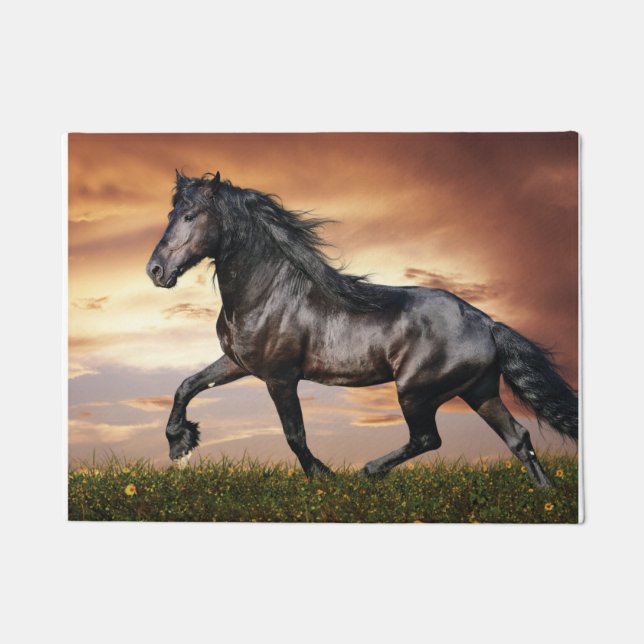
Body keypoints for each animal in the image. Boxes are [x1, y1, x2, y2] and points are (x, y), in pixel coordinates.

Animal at [146, 170, 578, 487]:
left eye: (190, 216)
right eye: (170, 215)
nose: (155, 271)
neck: (269, 292)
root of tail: (486, 322)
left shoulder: (280, 378)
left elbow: (294, 435)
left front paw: (324, 477)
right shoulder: (239, 363)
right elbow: (186, 385)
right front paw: (180, 444)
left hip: (416, 392)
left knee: (428, 438)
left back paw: (367, 471)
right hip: (479, 391)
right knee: (518, 439)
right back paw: (544, 494)